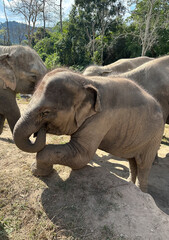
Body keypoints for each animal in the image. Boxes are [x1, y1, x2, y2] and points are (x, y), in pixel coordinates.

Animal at [13, 68, 164, 192]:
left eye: (45, 112)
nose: (40, 131)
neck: (86, 81)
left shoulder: (100, 119)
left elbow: (81, 155)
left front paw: (37, 172)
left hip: (154, 137)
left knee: (143, 164)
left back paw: (141, 191)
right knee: (132, 161)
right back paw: (130, 185)